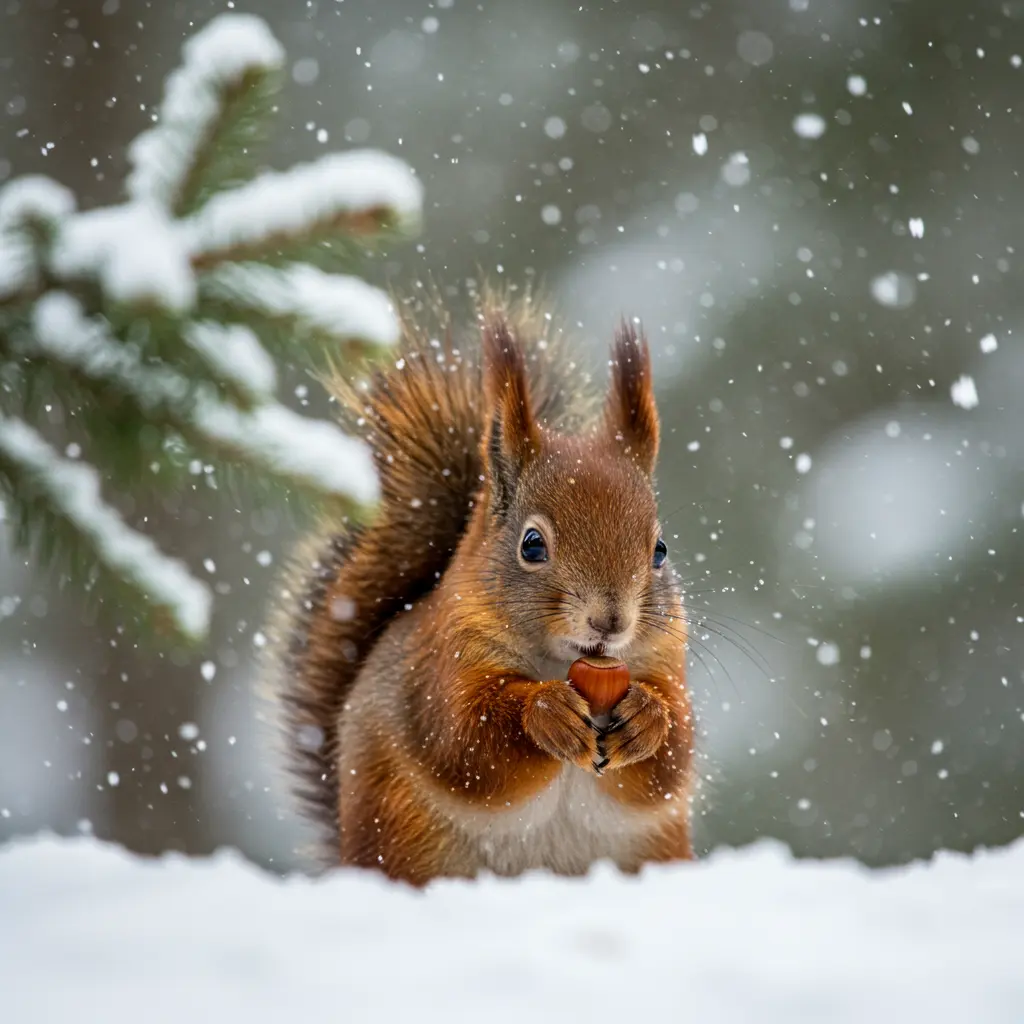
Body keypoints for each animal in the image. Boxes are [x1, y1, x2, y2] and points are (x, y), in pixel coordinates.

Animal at [264, 292, 694, 886]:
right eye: (532, 545)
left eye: (660, 550)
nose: (611, 621)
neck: (562, 662)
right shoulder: (439, 664)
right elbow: (466, 743)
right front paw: (545, 714)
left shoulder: (667, 662)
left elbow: (673, 761)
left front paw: (647, 719)